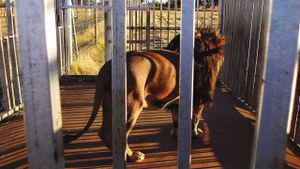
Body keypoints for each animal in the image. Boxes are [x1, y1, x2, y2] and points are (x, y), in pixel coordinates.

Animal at [63, 29, 225, 162]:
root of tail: (108, 66)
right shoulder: (198, 100)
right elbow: (195, 120)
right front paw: (196, 133)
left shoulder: (177, 103)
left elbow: (176, 120)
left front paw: (177, 133)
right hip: (132, 104)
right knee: (115, 133)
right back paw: (131, 156)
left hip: (109, 102)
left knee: (104, 131)